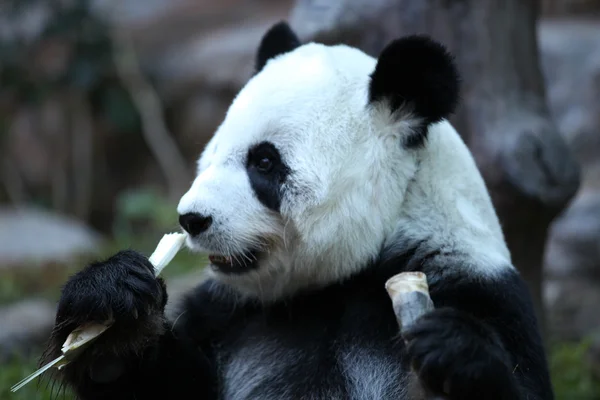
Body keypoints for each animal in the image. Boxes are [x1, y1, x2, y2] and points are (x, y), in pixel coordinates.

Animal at [45, 22, 552, 400]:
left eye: (264, 163)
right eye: (212, 154)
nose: (192, 219)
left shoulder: (479, 289)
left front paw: (455, 348)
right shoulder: (230, 315)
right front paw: (111, 305)